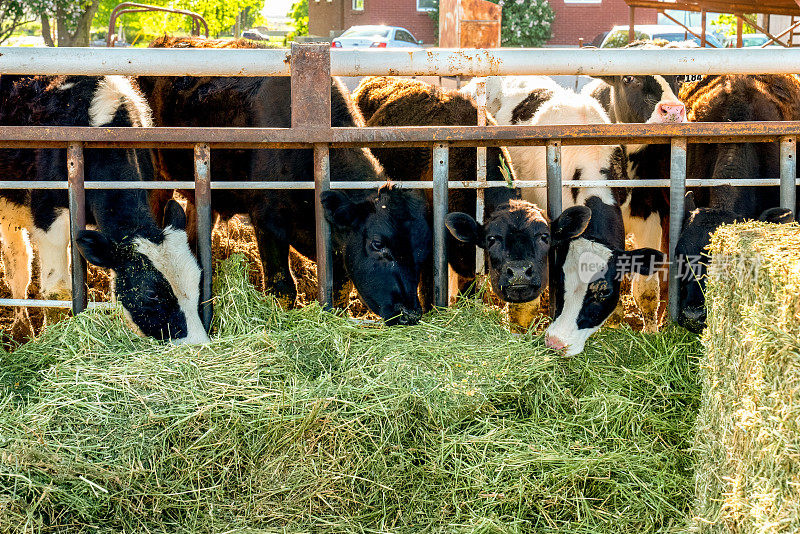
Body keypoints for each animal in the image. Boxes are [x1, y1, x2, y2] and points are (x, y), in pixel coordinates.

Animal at [0, 74, 209, 344]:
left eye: (198, 283)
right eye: (150, 294)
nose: (199, 345)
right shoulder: (49, 215)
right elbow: (57, 290)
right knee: (18, 264)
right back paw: (21, 330)